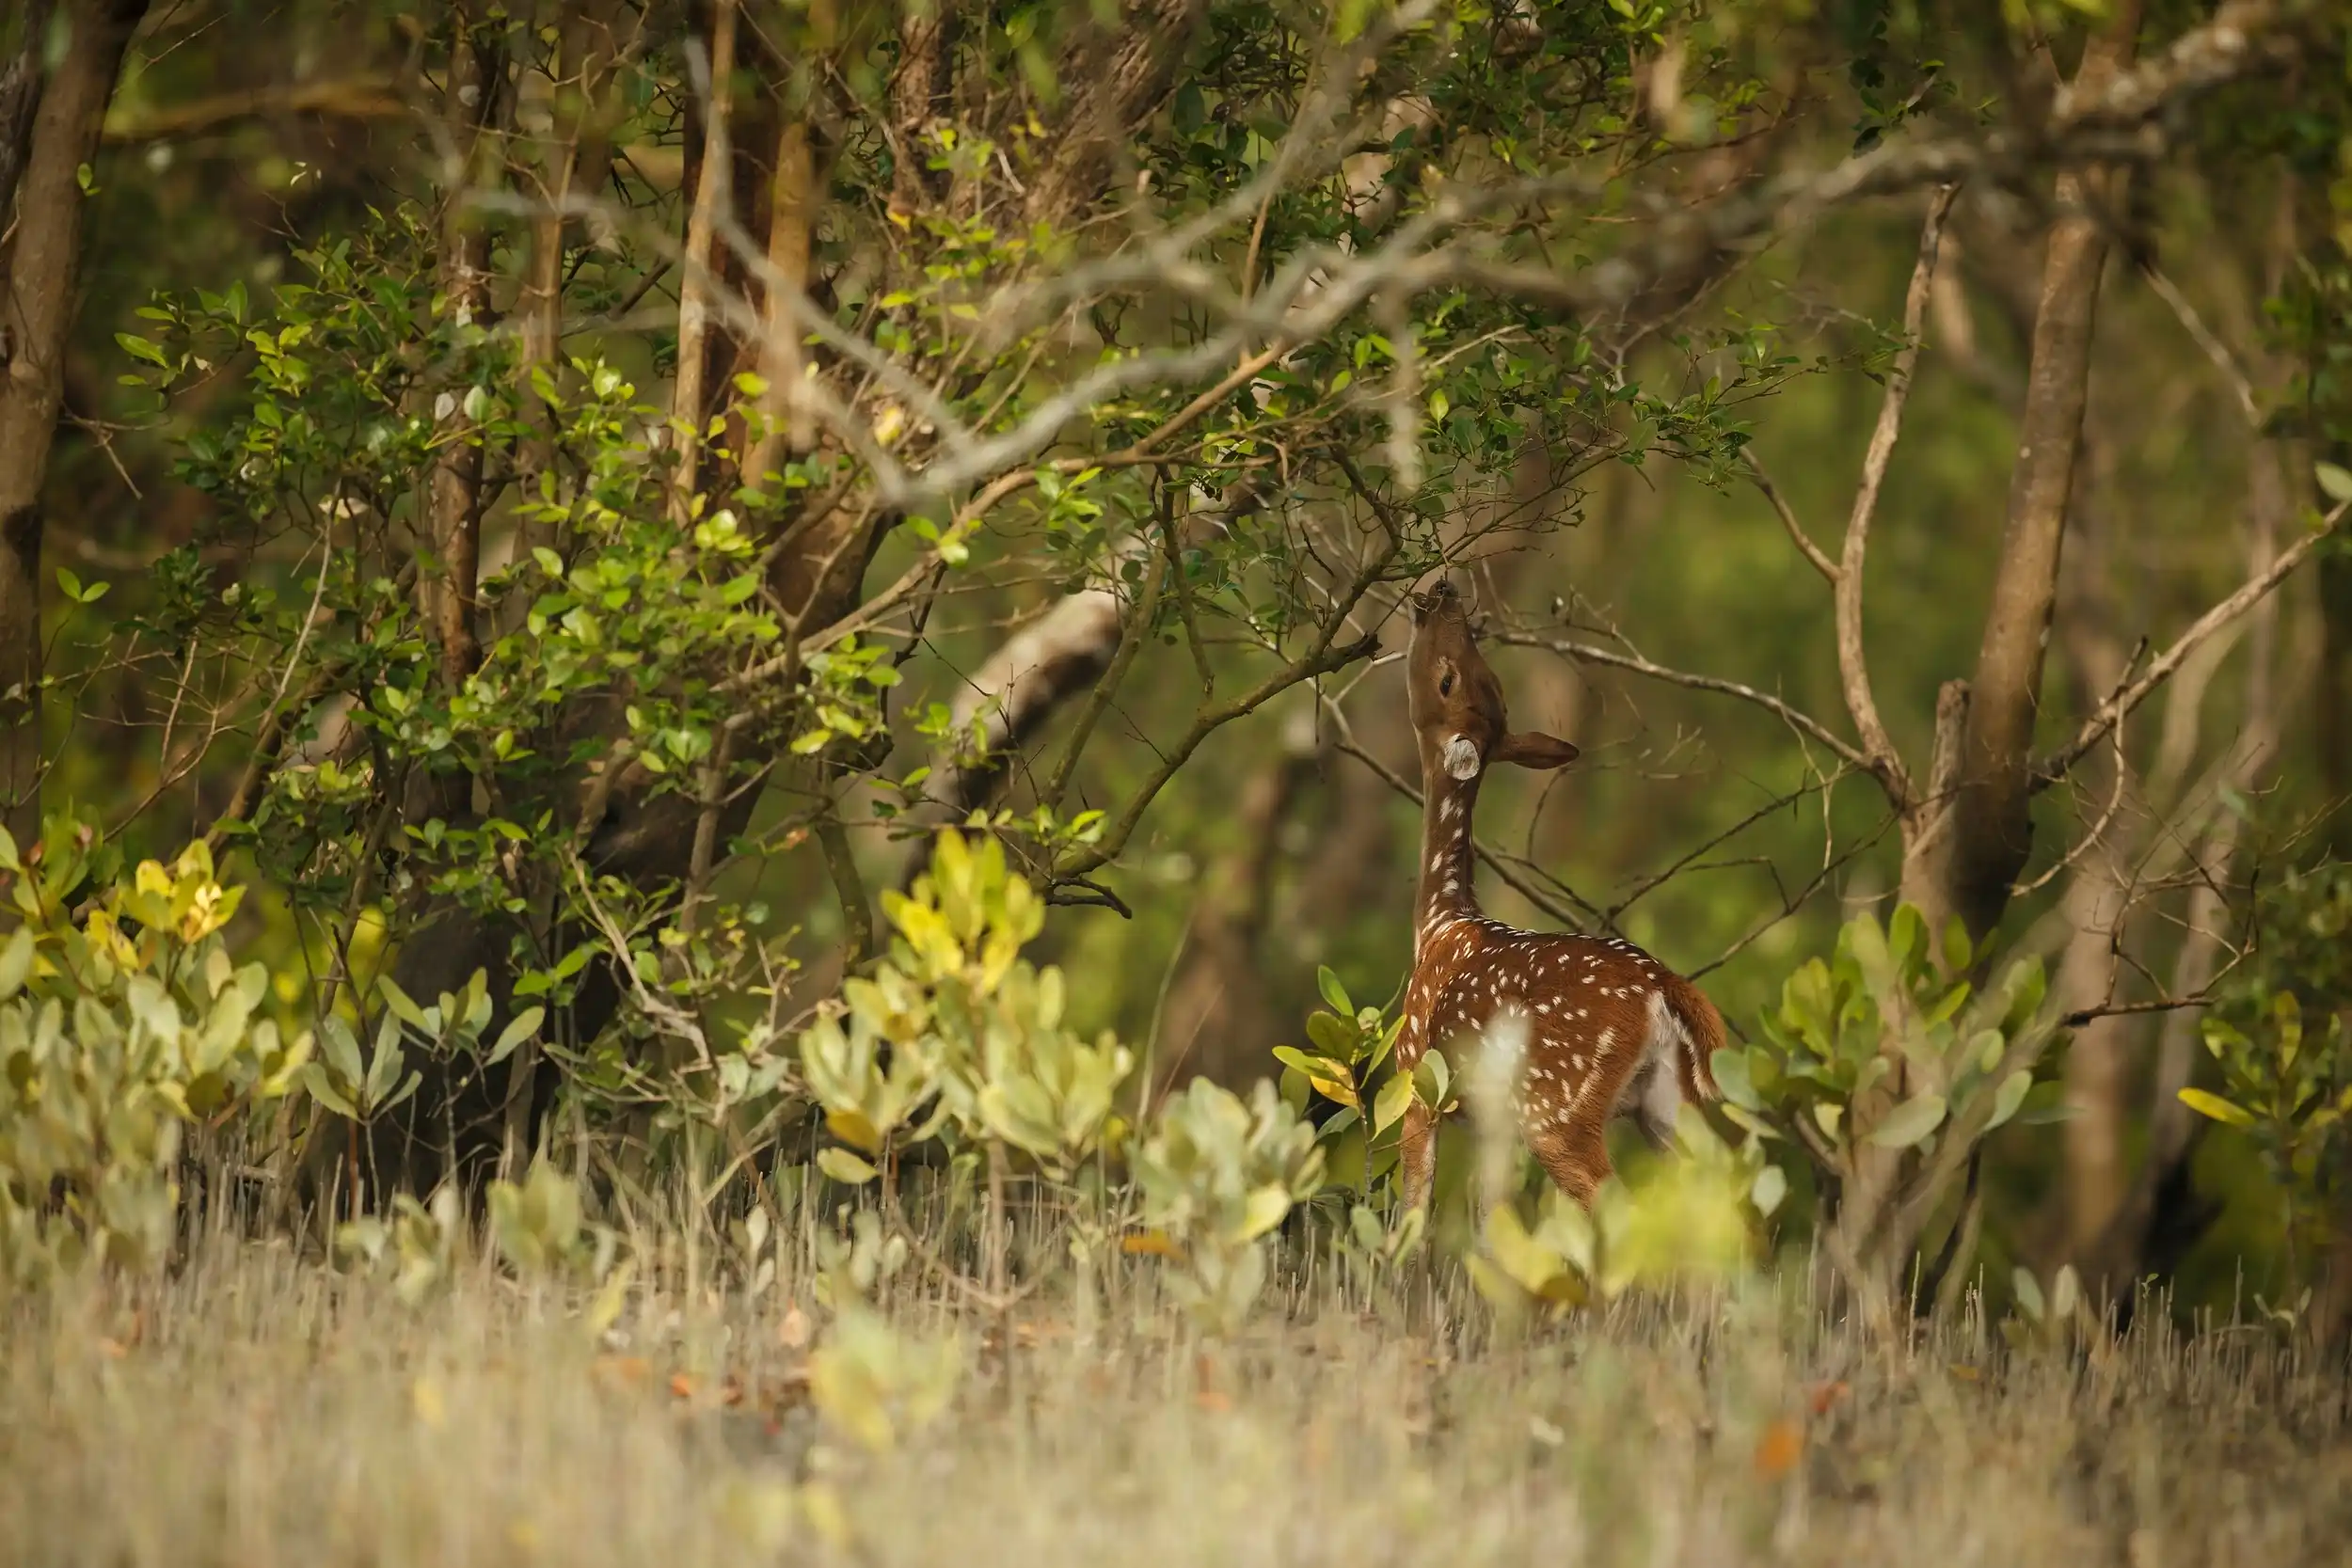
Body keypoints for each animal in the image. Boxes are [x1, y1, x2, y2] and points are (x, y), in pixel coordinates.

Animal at [1383, 582, 1722, 1212]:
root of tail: (1664, 990)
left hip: (1556, 1106)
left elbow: (1414, 1213)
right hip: (1667, 1104)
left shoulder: (1416, 1077)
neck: (1439, 924)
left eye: (1446, 681)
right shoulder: (1487, 1120)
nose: (1443, 592)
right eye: (1485, 677)